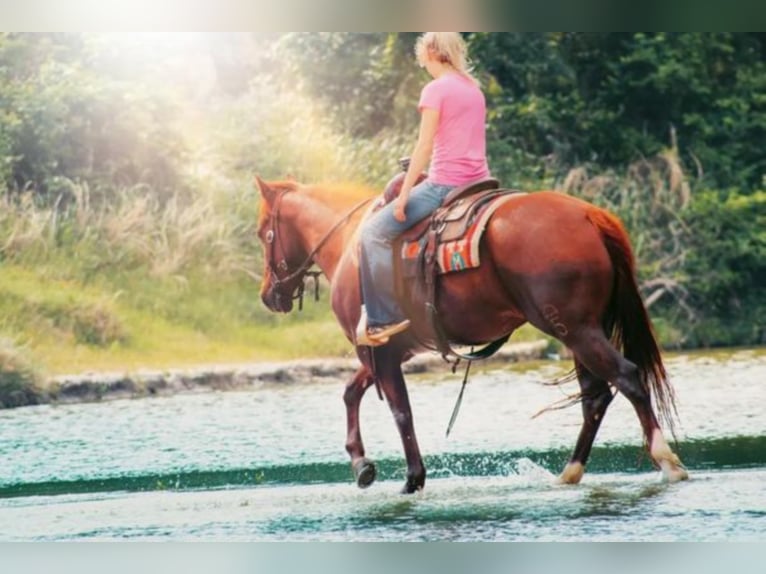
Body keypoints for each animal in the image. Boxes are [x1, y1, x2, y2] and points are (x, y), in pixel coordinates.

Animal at [255, 177, 692, 496]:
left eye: (263, 233)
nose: (268, 295)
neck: (349, 242)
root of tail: (589, 216)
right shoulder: (387, 349)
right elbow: (352, 392)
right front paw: (361, 464)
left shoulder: (376, 351)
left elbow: (400, 411)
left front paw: (412, 479)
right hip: (579, 333)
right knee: (596, 396)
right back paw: (570, 472)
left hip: (578, 331)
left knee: (626, 377)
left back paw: (667, 461)